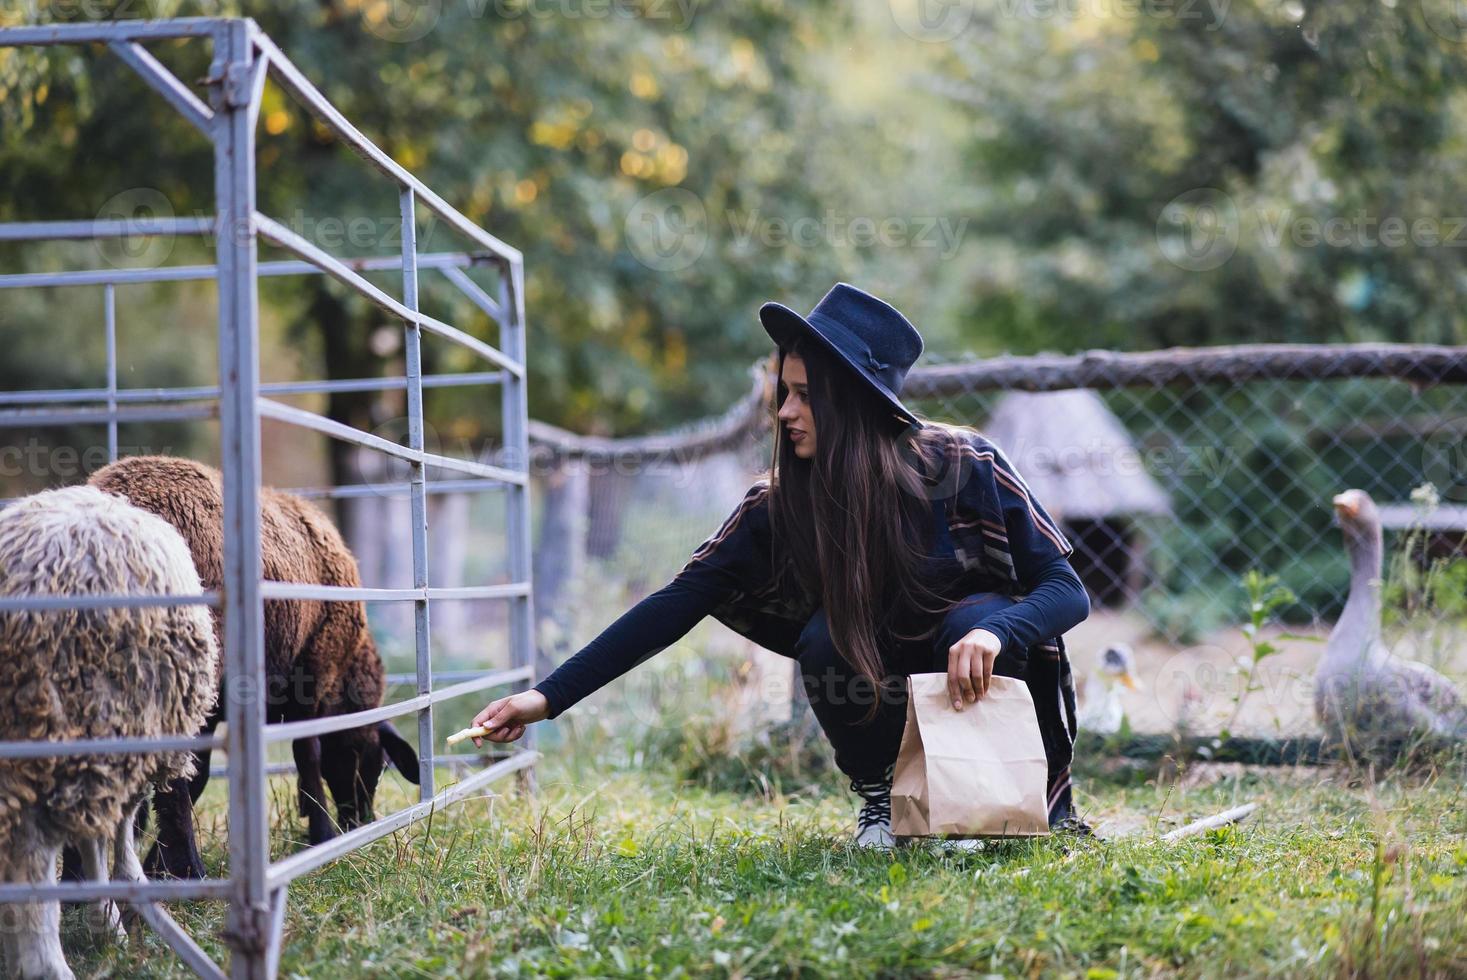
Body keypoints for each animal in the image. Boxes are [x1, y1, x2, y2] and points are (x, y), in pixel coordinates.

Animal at [77, 457, 419, 880]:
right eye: (374, 758)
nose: (360, 821)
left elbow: (200, 774)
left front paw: (150, 857)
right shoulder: (312, 675)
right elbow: (307, 753)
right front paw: (320, 836)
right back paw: (188, 869)